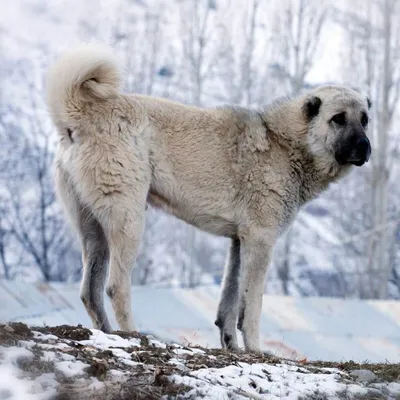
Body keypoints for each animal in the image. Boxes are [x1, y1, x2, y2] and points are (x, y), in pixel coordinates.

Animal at [47, 43, 372, 350]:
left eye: (365, 119)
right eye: (338, 119)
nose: (365, 147)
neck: (286, 143)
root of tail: (82, 115)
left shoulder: (240, 241)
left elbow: (228, 303)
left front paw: (233, 348)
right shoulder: (260, 240)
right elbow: (251, 306)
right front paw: (255, 349)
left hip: (94, 230)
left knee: (90, 291)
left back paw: (107, 334)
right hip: (128, 221)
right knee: (115, 287)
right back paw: (132, 335)